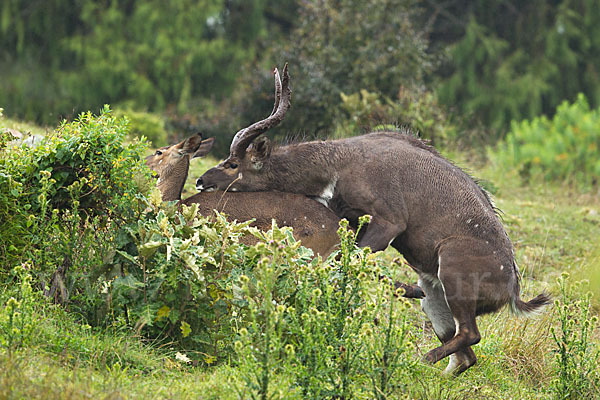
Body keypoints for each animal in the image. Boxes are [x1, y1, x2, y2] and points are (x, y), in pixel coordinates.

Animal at [198, 64, 552, 374]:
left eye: (233, 163)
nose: (201, 181)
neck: (339, 163)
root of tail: (512, 289)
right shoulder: (353, 223)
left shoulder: (388, 223)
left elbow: (351, 259)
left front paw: (400, 292)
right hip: (436, 294)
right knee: (465, 355)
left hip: (451, 273)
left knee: (470, 335)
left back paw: (416, 359)